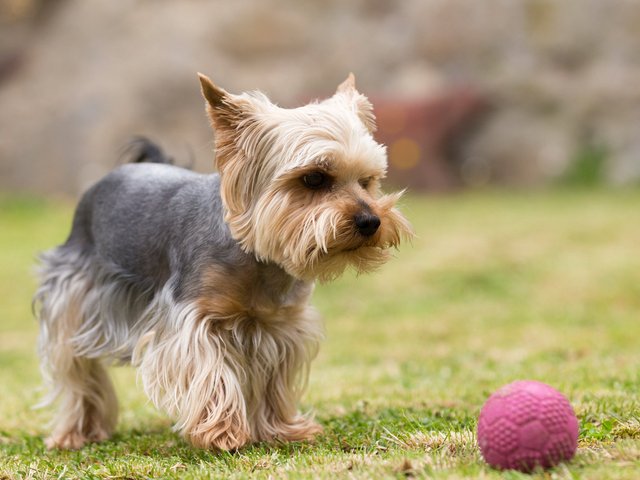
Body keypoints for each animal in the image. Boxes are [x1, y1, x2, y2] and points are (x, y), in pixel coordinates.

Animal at [35, 72, 412, 450]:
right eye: (314, 178)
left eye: (367, 181)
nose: (371, 222)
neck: (258, 258)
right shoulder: (193, 319)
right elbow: (210, 370)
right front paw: (222, 433)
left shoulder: (279, 327)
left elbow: (273, 380)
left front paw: (281, 430)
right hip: (74, 300)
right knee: (78, 373)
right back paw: (76, 433)